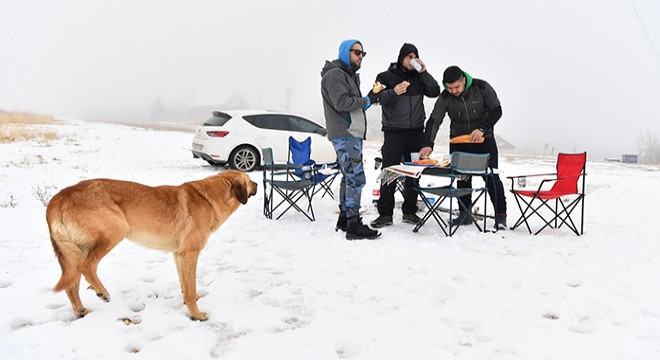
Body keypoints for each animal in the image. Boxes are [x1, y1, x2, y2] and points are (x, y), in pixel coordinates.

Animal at [45, 170, 258, 322]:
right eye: (249, 180)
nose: (257, 184)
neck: (209, 197)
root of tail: (59, 197)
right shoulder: (190, 253)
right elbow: (190, 285)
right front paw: (196, 314)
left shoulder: (179, 254)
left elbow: (185, 284)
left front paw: (190, 300)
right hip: (115, 231)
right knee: (88, 266)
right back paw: (102, 292)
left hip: (75, 250)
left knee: (72, 283)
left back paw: (80, 311)